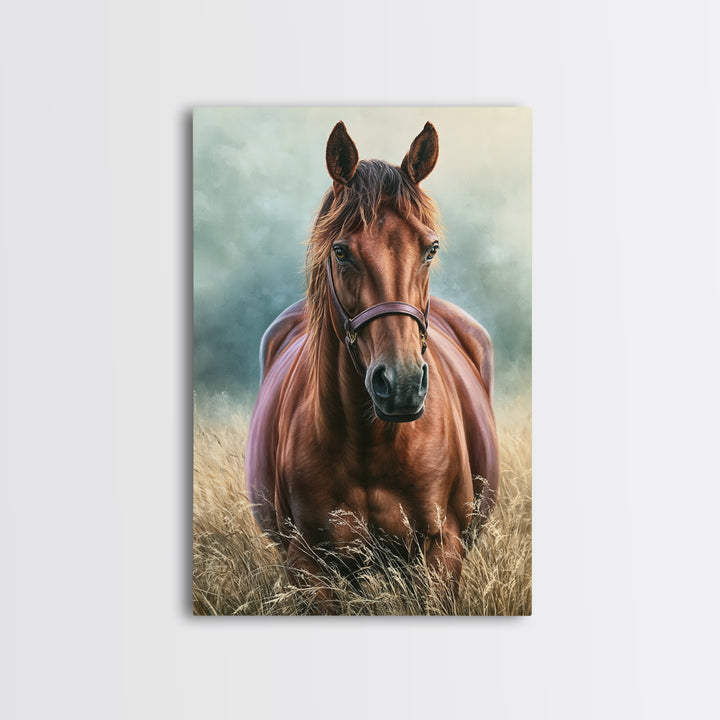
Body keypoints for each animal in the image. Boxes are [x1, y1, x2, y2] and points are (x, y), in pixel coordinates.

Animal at [245, 121, 499, 611]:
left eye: (430, 249)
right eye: (341, 252)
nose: (400, 385)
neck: (369, 446)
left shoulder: (442, 553)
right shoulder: (308, 566)